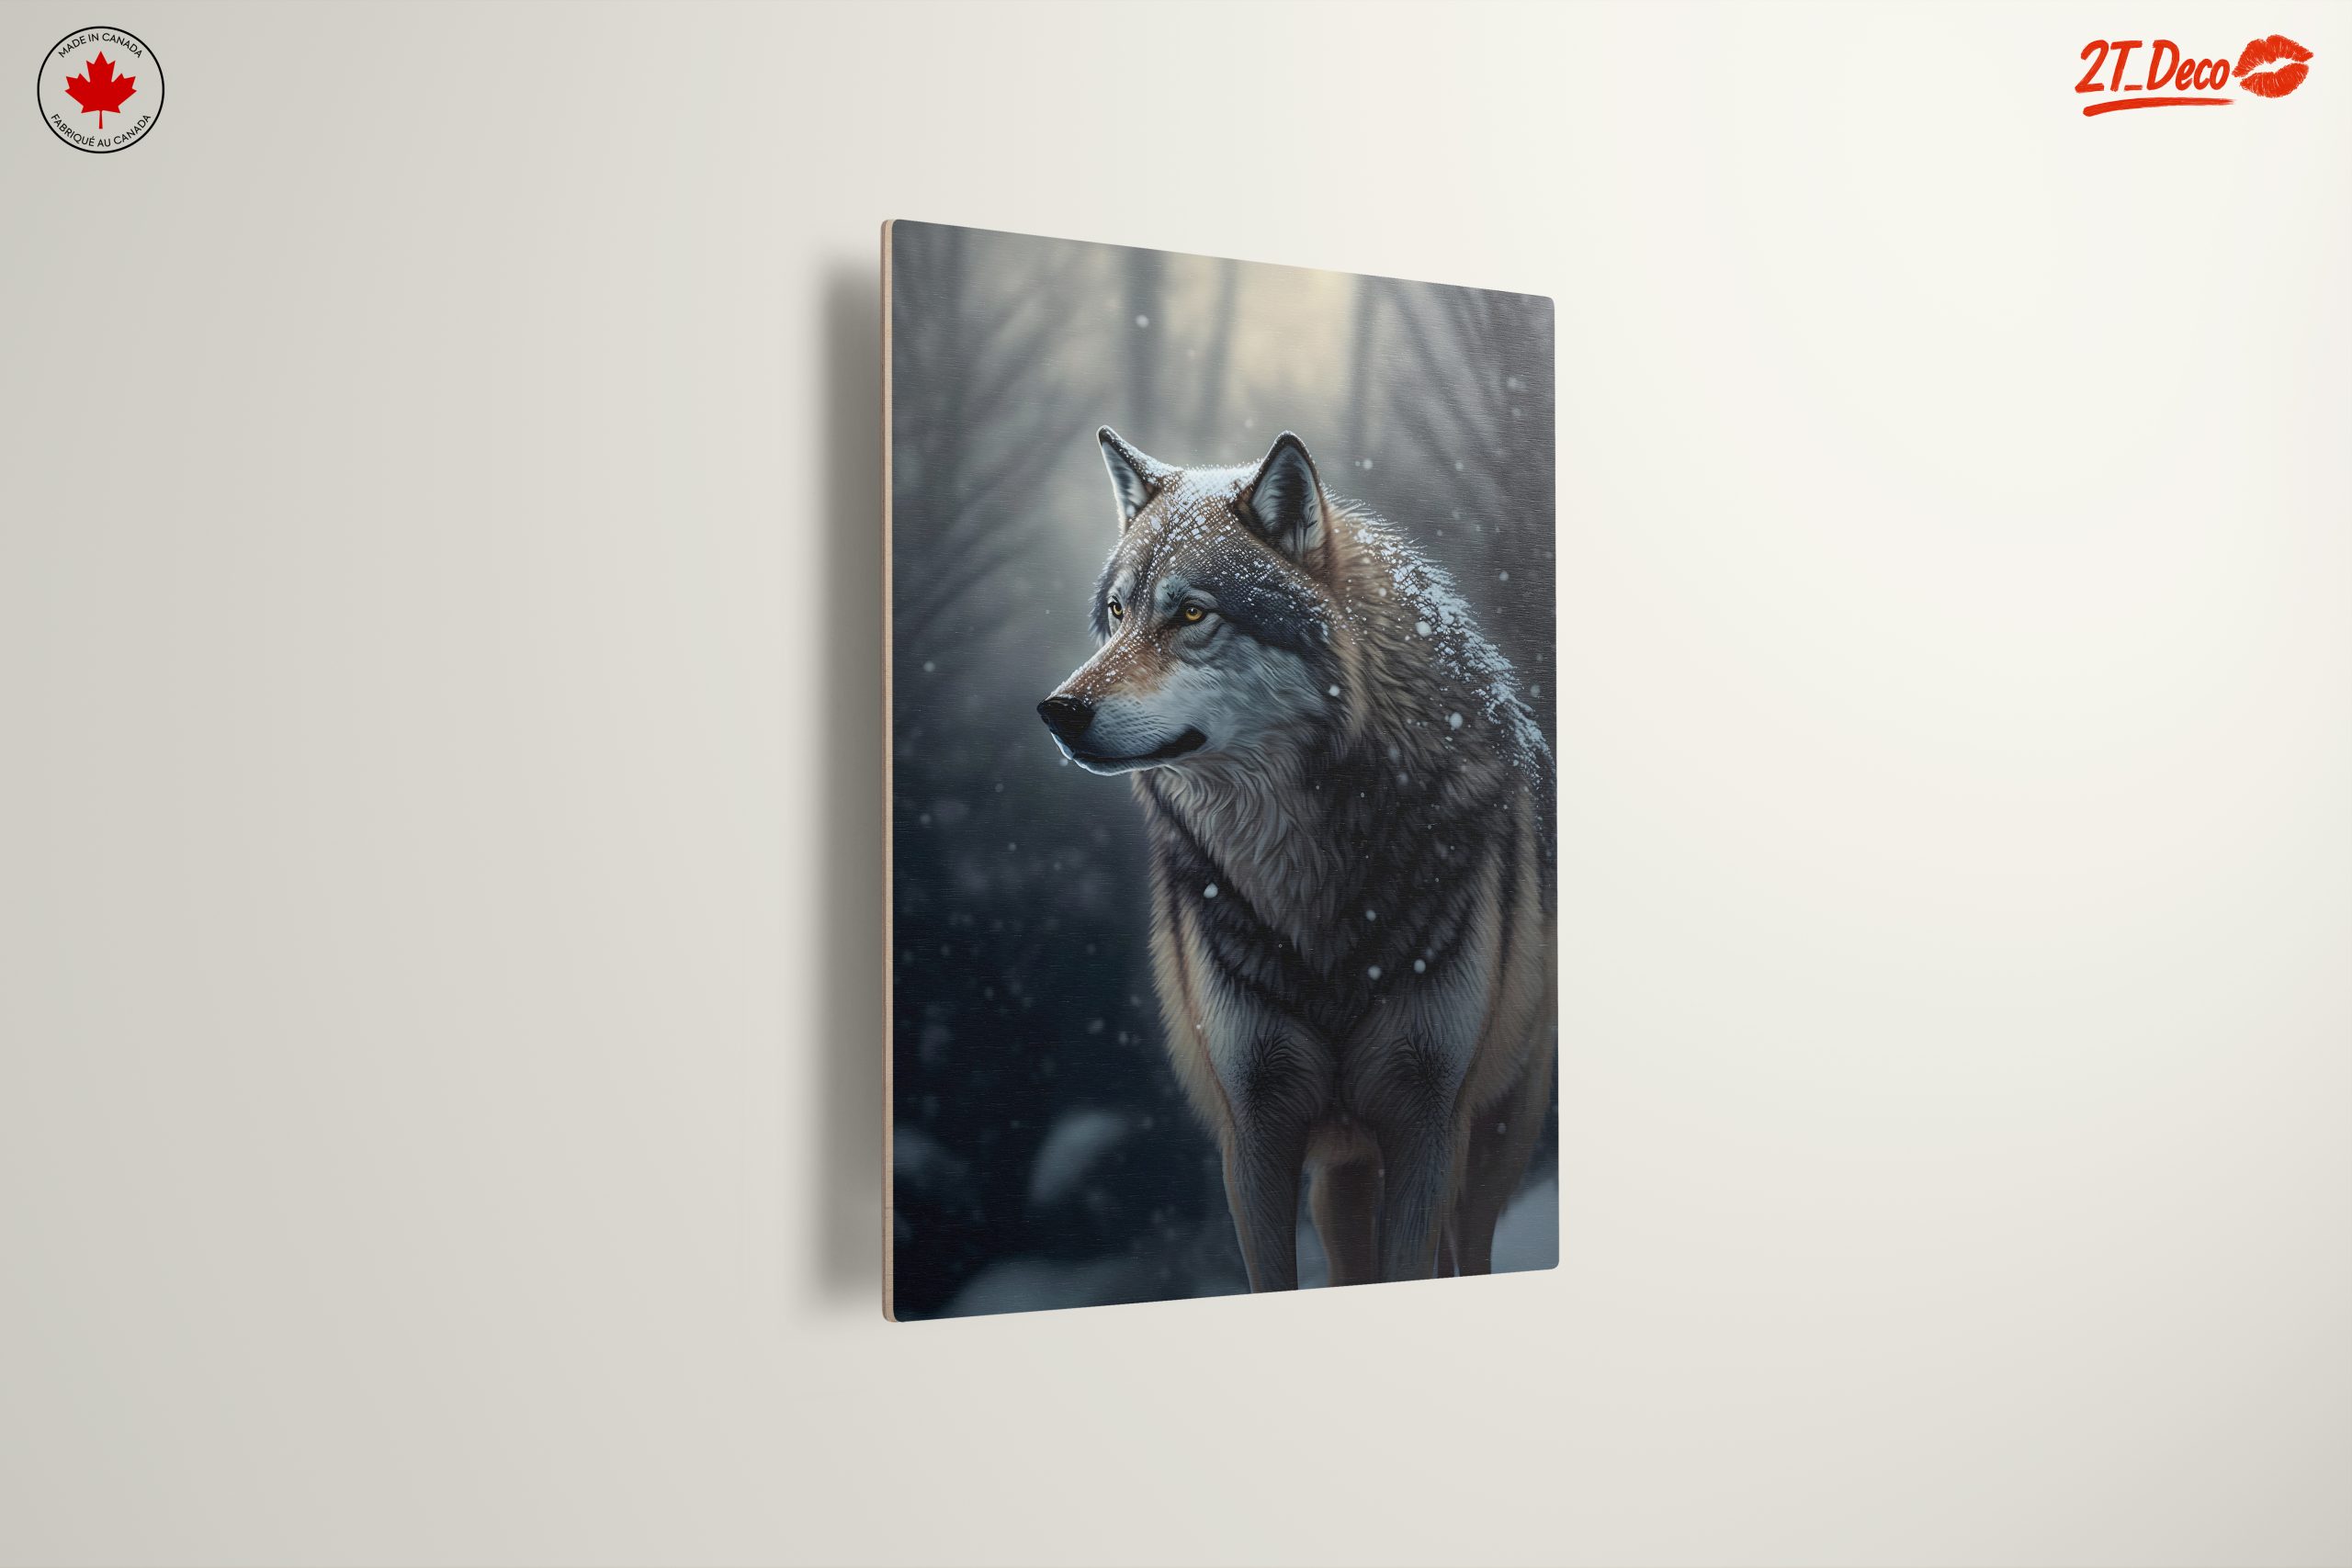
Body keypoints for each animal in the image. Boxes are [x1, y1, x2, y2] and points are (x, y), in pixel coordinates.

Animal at [1037, 428, 1556, 1290]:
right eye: (1117, 611)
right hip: (1343, 1172)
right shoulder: (1255, 1130)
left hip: (1490, 1143)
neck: (1309, 883)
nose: (1057, 711)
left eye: (1191, 612)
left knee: (1469, 1249)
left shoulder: (1428, 1122)